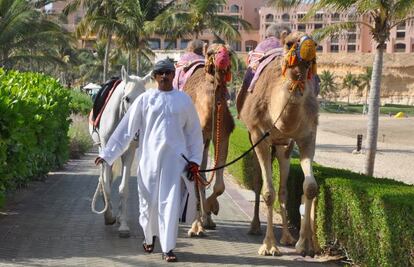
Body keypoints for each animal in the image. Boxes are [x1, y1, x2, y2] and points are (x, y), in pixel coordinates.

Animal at [182, 43, 234, 237]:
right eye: (211, 52)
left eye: (230, 52)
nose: (223, 58)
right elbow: (195, 179)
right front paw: (196, 227)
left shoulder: (223, 135)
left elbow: (219, 185)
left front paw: (212, 208)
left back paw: (208, 219)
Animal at [236, 33, 320, 258]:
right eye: (290, 43)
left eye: (316, 44)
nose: (308, 45)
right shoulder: (259, 134)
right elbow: (268, 192)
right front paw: (269, 246)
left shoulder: (308, 136)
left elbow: (310, 187)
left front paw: (305, 245)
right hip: (254, 138)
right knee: (258, 183)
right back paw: (255, 227)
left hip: (284, 147)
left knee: (283, 189)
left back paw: (288, 237)